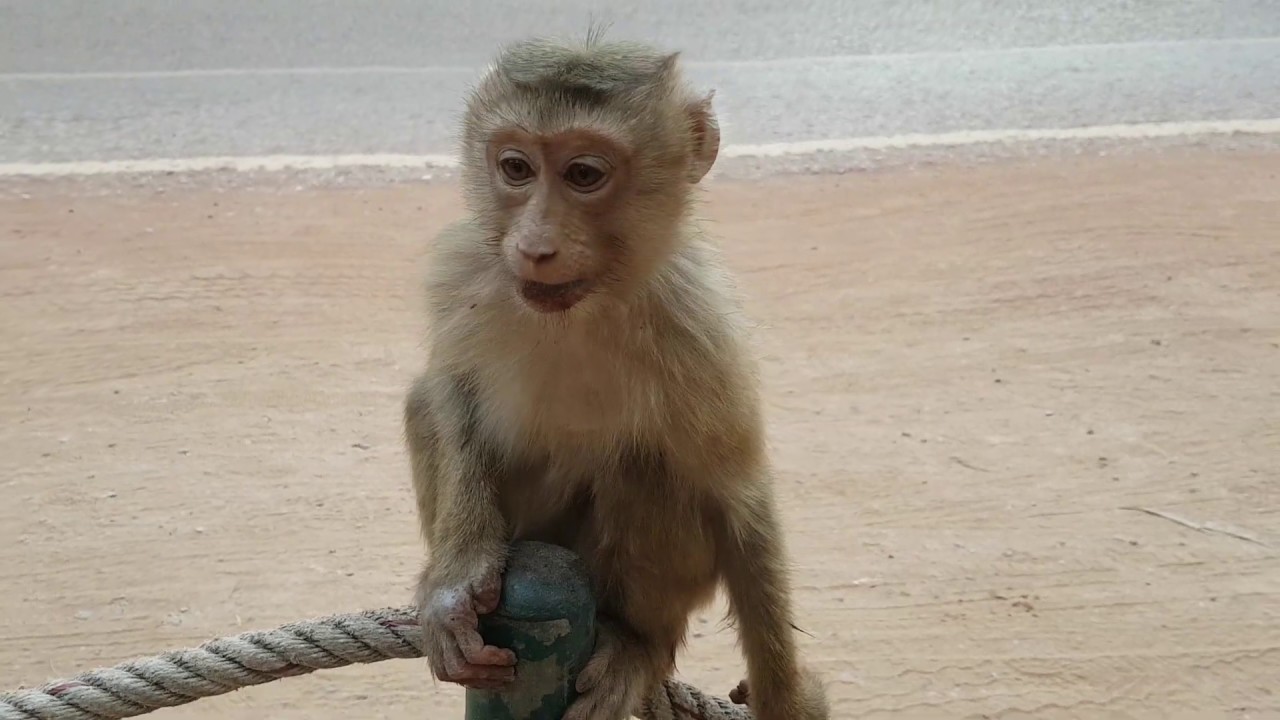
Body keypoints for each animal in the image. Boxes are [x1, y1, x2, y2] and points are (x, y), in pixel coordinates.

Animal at [403, 34, 830, 720]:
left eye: (584, 175)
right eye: (516, 168)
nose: (535, 245)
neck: (586, 306)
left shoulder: (700, 325)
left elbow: (741, 498)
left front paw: (784, 699)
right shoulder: (467, 265)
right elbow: (450, 388)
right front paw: (456, 575)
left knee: (648, 469)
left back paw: (637, 641)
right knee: (422, 403)